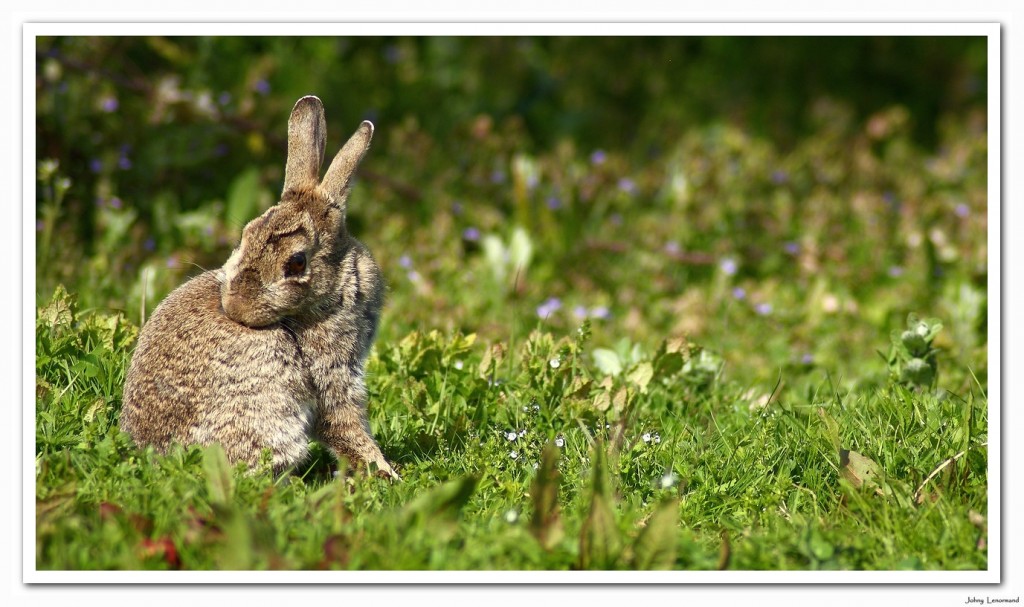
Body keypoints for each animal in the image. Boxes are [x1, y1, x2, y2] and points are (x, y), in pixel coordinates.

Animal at [116, 95, 395, 479]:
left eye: (297, 263)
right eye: (247, 235)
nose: (234, 306)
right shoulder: (333, 370)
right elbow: (343, 423)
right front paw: (384, 471)